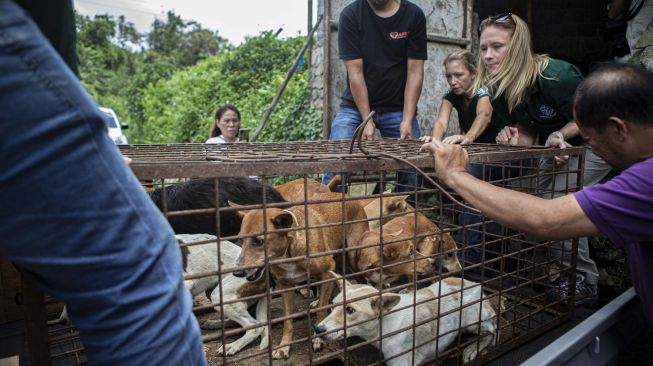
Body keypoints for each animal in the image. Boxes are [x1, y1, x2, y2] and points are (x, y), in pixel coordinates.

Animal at [232, 193, 370, 358]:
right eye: (241, 239)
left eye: (259, 241)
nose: (237, 272)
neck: (289, 253)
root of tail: (347, 195)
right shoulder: (286, 286)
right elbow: (288, 321)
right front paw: (284, 346)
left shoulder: (327, 271)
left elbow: (321, 310)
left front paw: (318, 339)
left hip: (352, 255)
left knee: (362, 280)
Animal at [314, 274, 494, 364]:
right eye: (332, 305)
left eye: (350, 310)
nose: (317, 329)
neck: (385, 324)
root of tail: (477, 285)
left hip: (473, 320)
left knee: (493, 330)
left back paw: (473, 348)